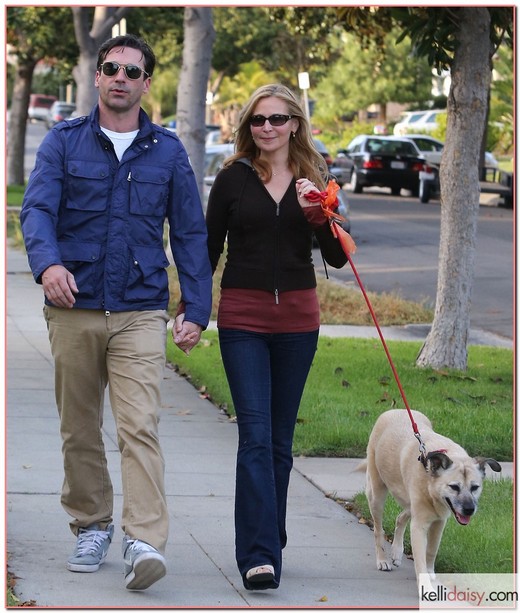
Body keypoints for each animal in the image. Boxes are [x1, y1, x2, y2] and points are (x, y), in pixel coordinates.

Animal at [362, 408, 500, 584]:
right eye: (454, 487)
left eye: (475, 487)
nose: (469, 509)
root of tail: (395, 410)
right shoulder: (419, 525)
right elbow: (420, 557)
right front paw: (426, 585)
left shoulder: (439, 522)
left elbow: (432, 550)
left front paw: (430, 573)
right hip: (377, 494)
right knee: (378, 530)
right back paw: (383, 560)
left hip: (410, 502)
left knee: (400, 517)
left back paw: (397, 552)